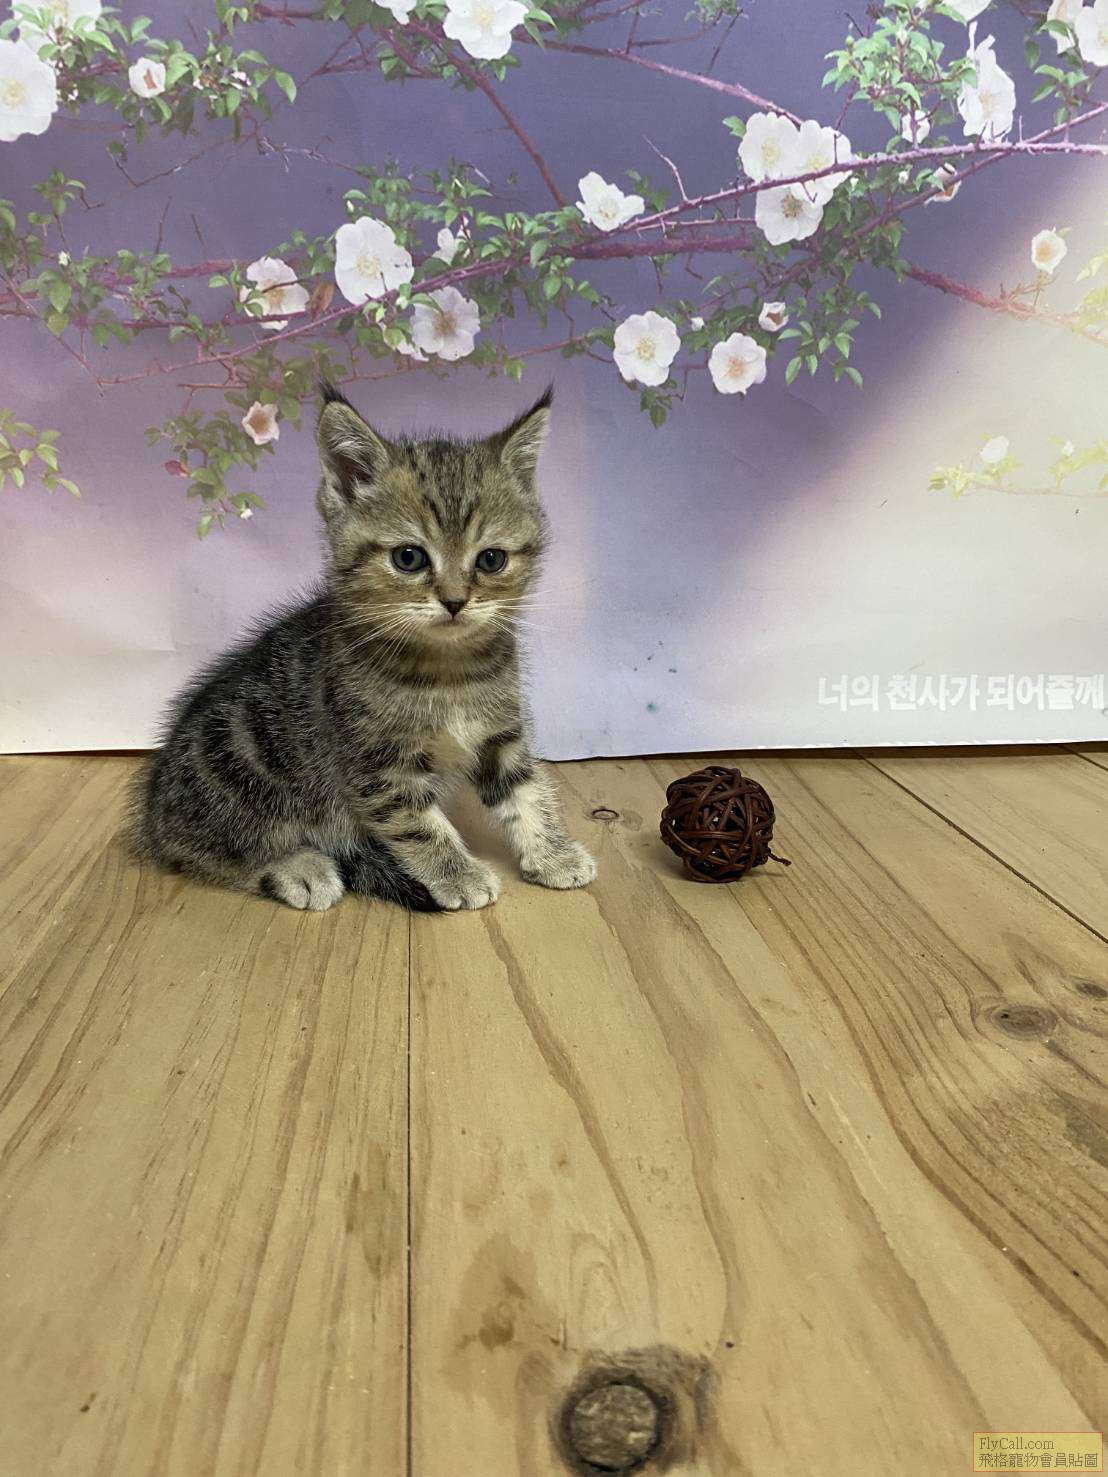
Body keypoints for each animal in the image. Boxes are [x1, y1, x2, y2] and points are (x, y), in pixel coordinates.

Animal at [123, 382, 596, 914]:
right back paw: (299, 869)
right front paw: (459, 873)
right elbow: (419, 824)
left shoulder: (501, 735)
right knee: (207, 851)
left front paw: (553, 853)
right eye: (409, 558)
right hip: (240, 760)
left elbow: (528, 792)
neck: (448, 670)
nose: (455, 601)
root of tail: (152, 810)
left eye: (491, 560)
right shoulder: (377, 764)